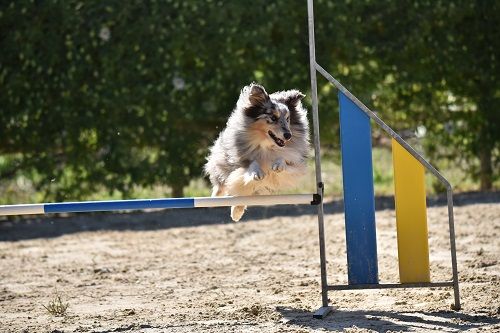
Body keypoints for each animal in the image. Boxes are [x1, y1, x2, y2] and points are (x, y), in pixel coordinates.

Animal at [203, 83, 308, 220]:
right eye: (273, 118)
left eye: (288, 119)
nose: (288, 135)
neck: (266, 145)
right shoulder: (238, 161)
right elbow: (251, 164)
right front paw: (257, 172)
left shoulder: (294, 165)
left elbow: (283, 160)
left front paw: (278, 165)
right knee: (222, 187)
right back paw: (220, 203)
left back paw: (237, 211)